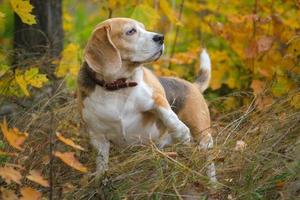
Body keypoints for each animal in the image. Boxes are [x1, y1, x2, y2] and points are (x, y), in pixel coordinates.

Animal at [78, 17, 217, 183]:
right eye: (130, 31)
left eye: (143, 28)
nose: (161, 37)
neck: (118, 87)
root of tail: (192, 85)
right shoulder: (97, 136)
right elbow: (101, 163)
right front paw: (100, 179)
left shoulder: (156, 98)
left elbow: (168, 115)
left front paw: (181, 132)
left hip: (203, 135)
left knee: (209, 160)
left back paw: (213, 183)